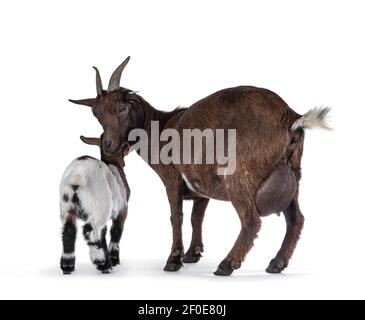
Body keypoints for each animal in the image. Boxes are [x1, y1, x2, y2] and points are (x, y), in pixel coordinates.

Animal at [58, 136, 129, 274]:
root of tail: (78, 173)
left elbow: (103, 234)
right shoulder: (122, 209)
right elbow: (116, 231)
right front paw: (114, 259)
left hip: (67, 207)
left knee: (69, 231)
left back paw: (67, 266)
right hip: (100, 207)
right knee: (89, 230)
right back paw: (103, 264)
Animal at [69, 57, 330, 276]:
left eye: (122, 108)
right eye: (96, 113)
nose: (110, 145)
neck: (160, 127)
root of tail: (291, 117)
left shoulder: (172, 180)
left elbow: (176, 216)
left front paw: (173, 260)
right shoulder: (202, 187)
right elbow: (197, 217)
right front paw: (192, 254)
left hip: (239, 175)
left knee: (251, 220)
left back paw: (227, 264)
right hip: (294, 173)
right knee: (296, 219)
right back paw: (277, 263)